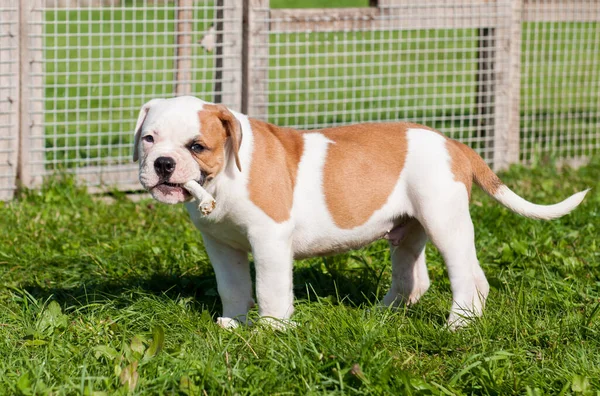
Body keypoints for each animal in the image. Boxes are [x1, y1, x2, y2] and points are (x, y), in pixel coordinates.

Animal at [134, 95, 588, 328]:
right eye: (149, 139)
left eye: (197, 146)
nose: (163, 164)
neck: (224, 176)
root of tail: (454, 143)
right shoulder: (221, 245)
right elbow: (232, 286)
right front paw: (234, 323)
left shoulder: (269, 240)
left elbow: (269, 289)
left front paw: (272, 330)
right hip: (410, 229)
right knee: (417, 277)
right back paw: (382, 313)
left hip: (445, 221)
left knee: (465, 275)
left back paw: (459, 323)